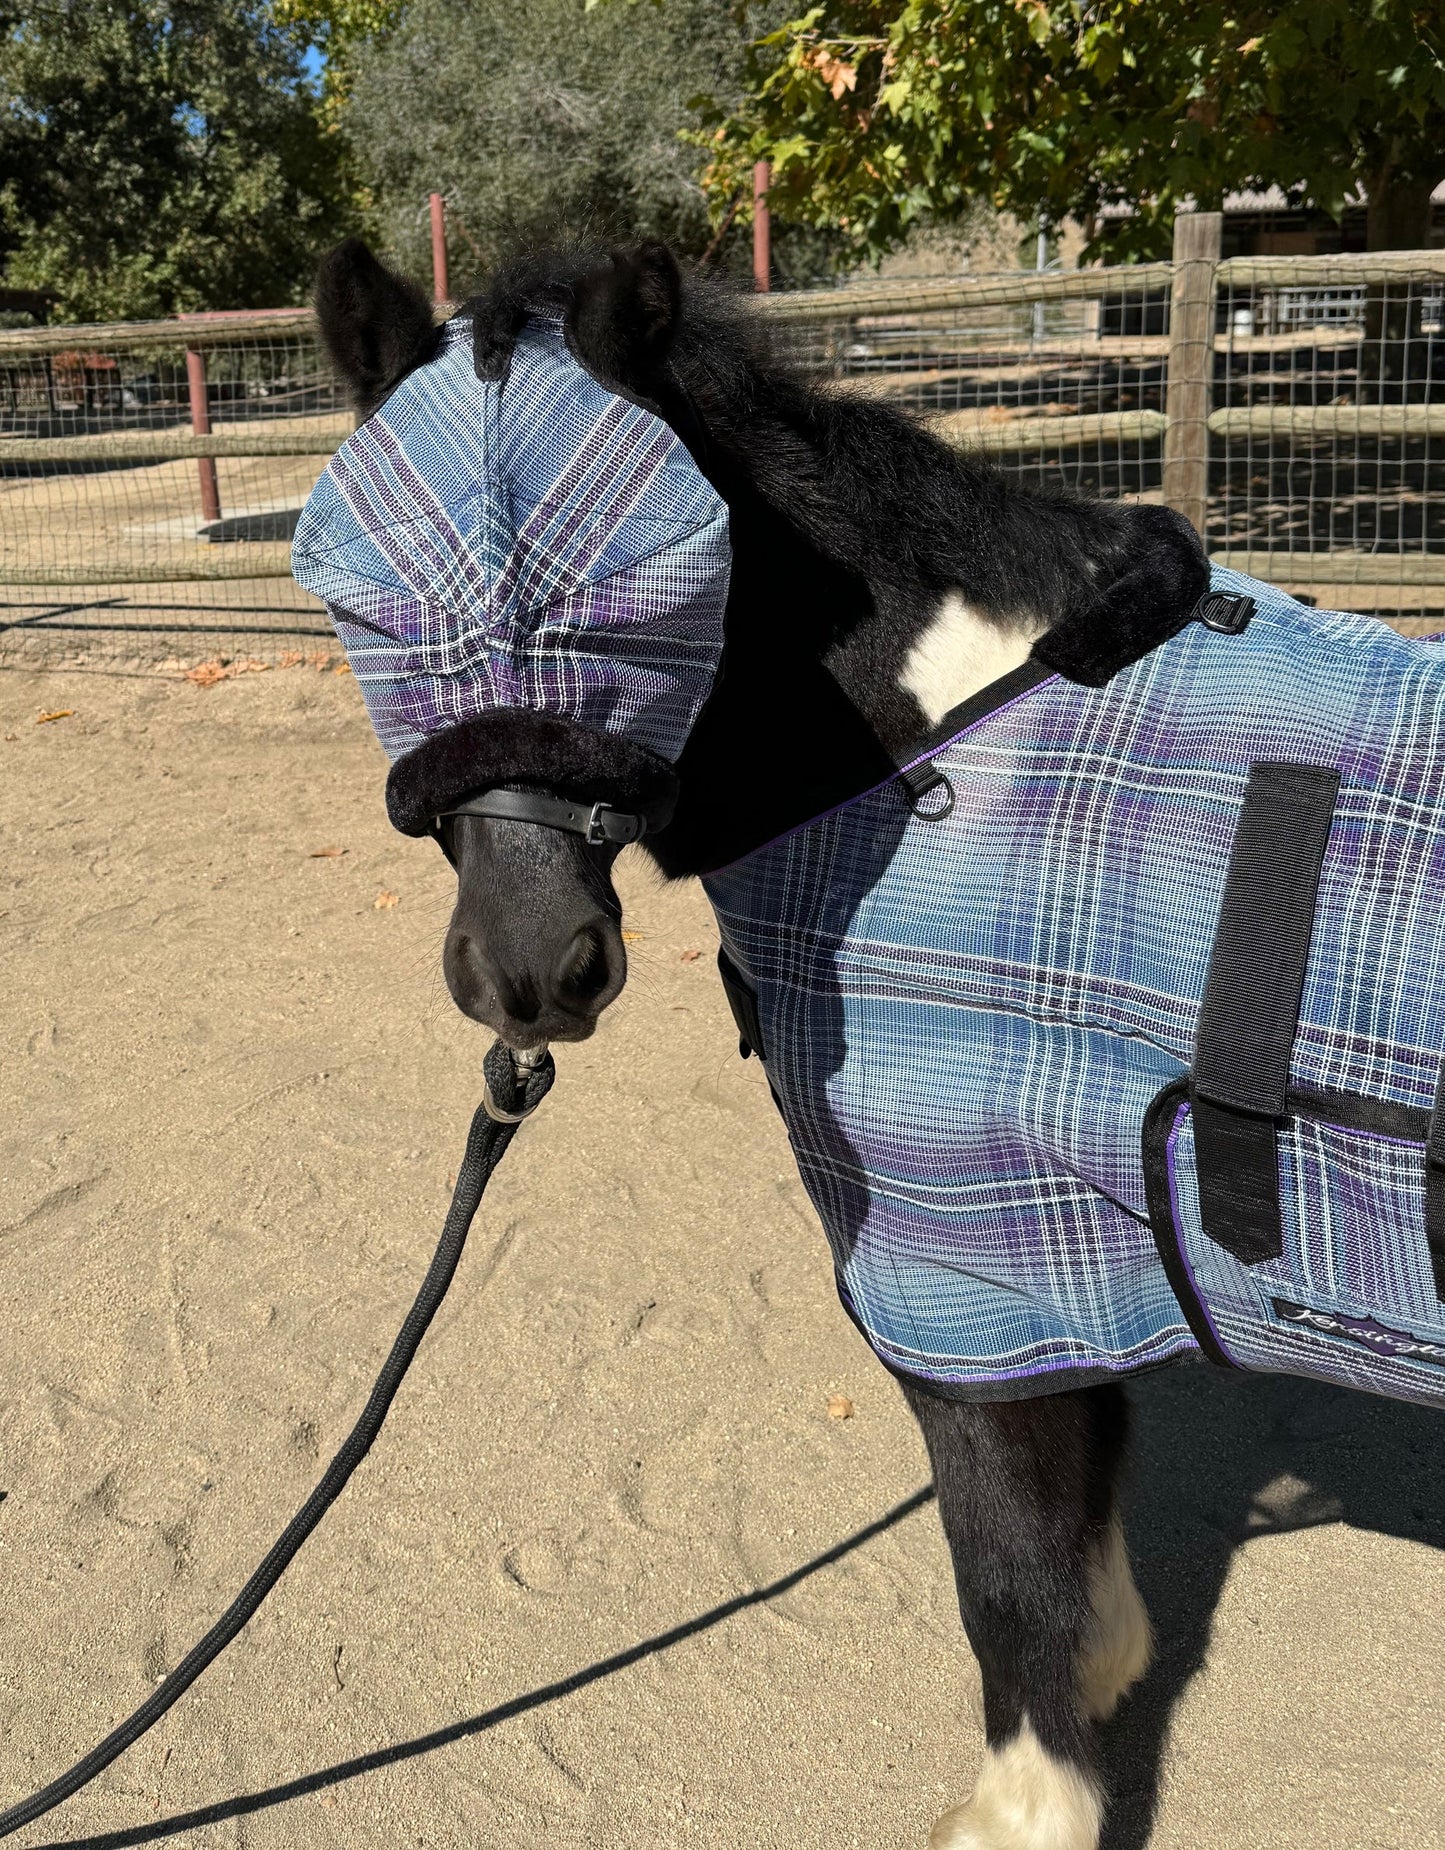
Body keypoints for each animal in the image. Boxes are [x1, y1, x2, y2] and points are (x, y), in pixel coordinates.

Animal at [303, 234, 1404, 1850]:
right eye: (372, 614)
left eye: (640, 603)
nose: (530, 968)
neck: (957, 753)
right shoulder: (1066, 1265)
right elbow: (1078, 1533)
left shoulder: (979, 1276)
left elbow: (1011, 1568)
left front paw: (1026, 1802)